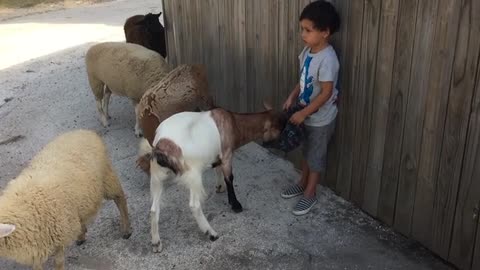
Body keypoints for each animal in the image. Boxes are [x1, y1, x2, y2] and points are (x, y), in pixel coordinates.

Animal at [0, 130, 131, 268]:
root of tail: (84, 131)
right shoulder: (37, 248)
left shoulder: (59, 237)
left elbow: (58, 262)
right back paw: (81, 235)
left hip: (107, 176)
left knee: (120, 199)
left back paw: (126, 229)